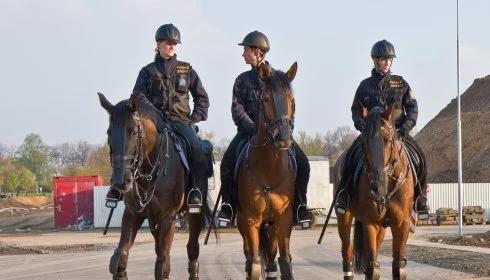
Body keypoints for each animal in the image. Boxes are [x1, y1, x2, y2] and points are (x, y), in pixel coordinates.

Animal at [98, 93, 212, 280]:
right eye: (109, 132)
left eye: (133, 131)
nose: (121, 181)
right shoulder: (133, 214)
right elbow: (119, 259)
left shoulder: (167, 217)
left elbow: (162, 265)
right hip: (153, 221)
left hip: (195, 212)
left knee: (192, 248)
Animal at [236, 61, 300, 280]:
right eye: (265, 99)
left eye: (291, 99)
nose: (283, 138)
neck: (269, 169)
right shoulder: (251, 219)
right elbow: (255, 265)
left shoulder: (283, 219)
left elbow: (285, 264)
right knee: (250, 258)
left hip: (271, 227)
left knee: (272, 259)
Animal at [334, 105, 414, 280]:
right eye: (364, 141)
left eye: (388, 139)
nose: (378, 186)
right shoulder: (370, 222)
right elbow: (372, 267)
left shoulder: (401, 224)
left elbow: (398, 267)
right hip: (345, 218)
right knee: (347, 254)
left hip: (382, 227)